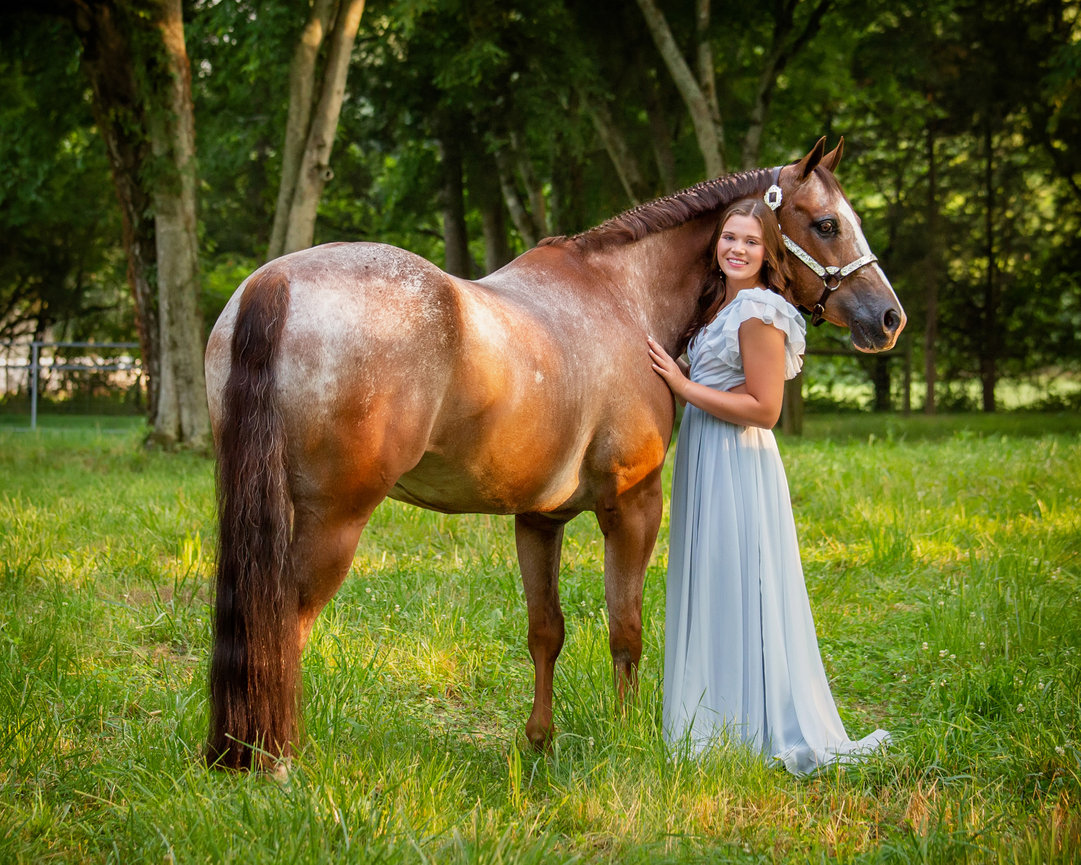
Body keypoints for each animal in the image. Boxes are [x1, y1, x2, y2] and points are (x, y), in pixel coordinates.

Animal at [204, 136, 905, 770]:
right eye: (827, 223)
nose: (889, 318)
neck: (622, 297)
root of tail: (276, 280)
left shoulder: (538, 518)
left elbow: (547, 630)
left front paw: (539, 740)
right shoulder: (633, 506)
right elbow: (626, 626)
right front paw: (629, 737)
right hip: (334, 520)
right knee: (285, 626)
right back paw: (278, 760)